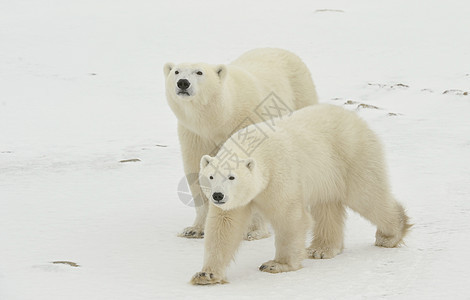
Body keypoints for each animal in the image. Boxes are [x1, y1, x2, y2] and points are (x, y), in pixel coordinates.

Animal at [163, 47, 318, 239]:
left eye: (199, 72)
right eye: (176, 71)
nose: (183, 83)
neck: (221, 116)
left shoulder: (248, 121)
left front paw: (254, 231)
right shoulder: (195, 134)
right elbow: (196, 169)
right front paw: (195, 229)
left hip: (300, 94)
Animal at [191, 104, 412, 284]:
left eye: (231, 177)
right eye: (211, 176)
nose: (218, 196)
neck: (255, 147)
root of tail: (356, 118)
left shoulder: (279, 176)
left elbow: (290, 218)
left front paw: (276, 264)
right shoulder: (236, 201)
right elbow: (224, 227)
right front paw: (206, 274)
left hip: (352, 155)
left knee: (367, 195)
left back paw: (390, 234)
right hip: (328, 175)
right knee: (328, 206)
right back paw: (320, 249)